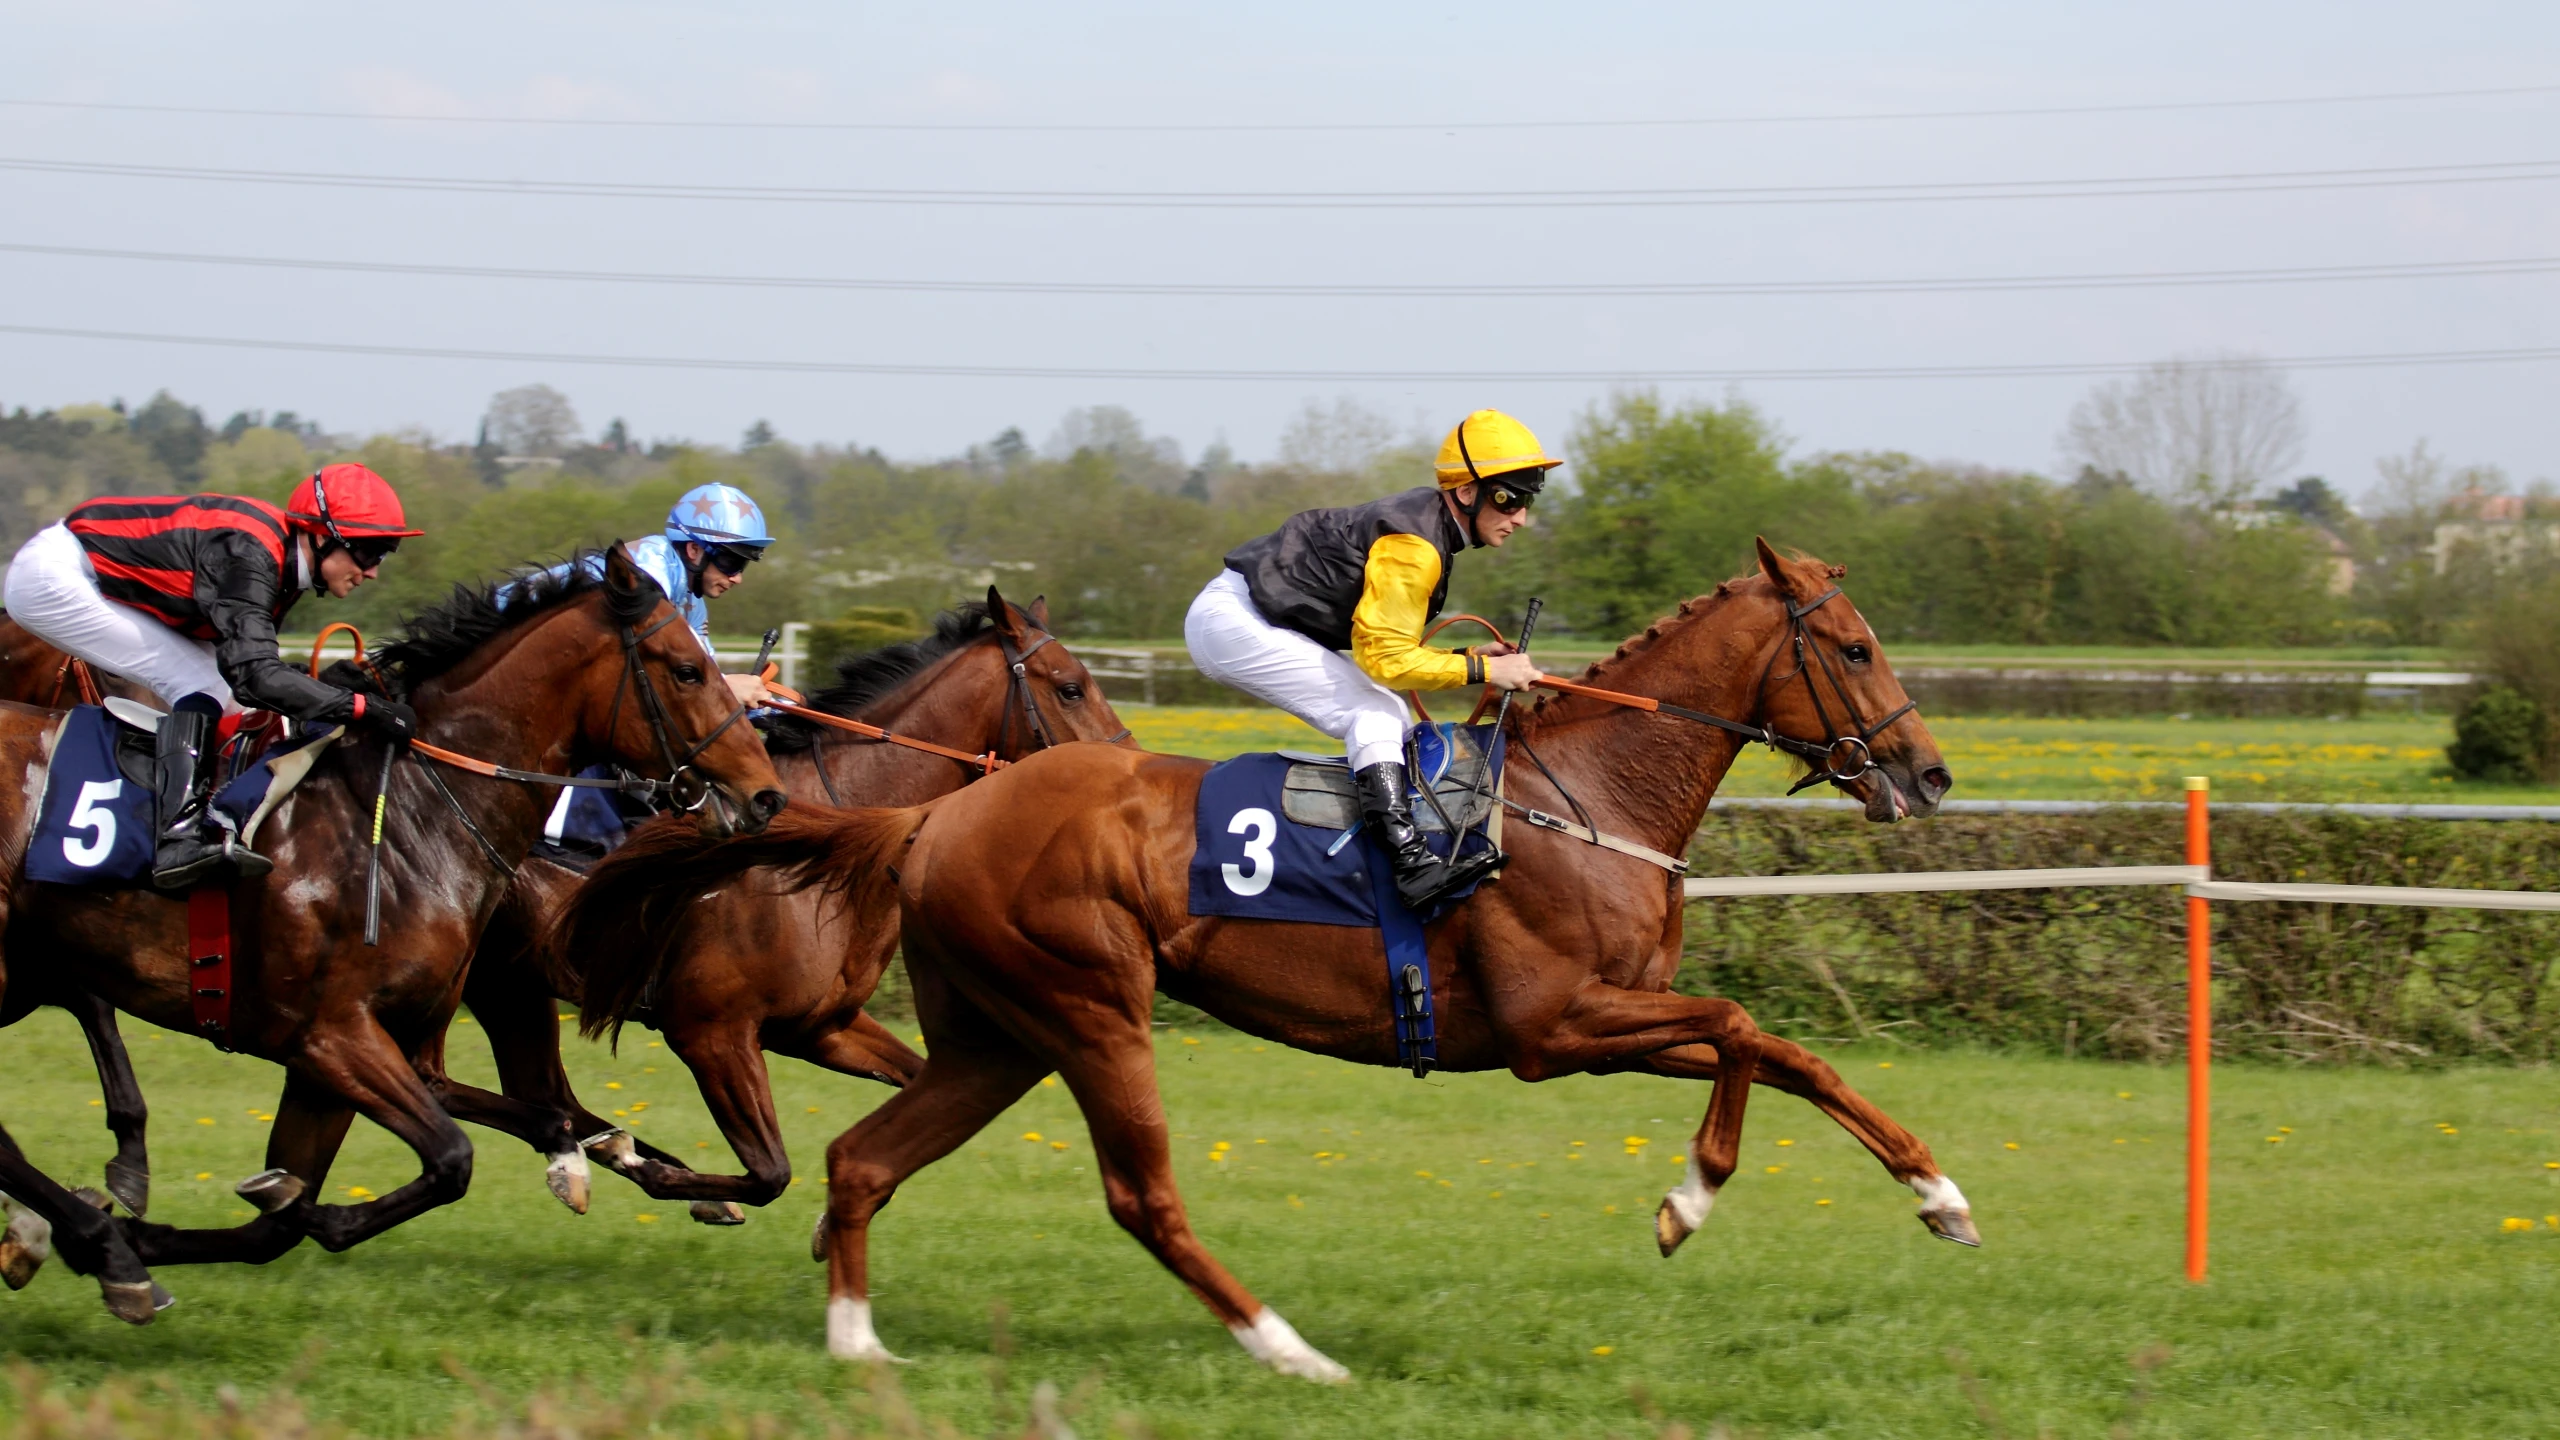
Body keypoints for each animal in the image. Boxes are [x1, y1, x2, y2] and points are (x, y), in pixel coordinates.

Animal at [0, 543, 778, 1322]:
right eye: (688, 669)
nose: (765, 795)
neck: (410, 813)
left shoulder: (332, 1059)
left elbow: (278, 1224)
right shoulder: (331, 1035)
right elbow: (450, 1159)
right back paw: (95, 1238)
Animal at [555, 538, 1955, 1363]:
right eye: (1851, 646)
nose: (1928, 775)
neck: (1587, 796)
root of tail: (938, 811)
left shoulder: (1611, 1019)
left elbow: (1785, 1052)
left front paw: (1938, 1193)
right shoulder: (1555, 1028)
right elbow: (1740, 1031)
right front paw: (1689, 1198)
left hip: (999, 1038)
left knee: (859, 1160)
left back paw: (856, 1346)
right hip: (1089, 1010)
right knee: (1141, 1197)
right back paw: (1286, 1347)